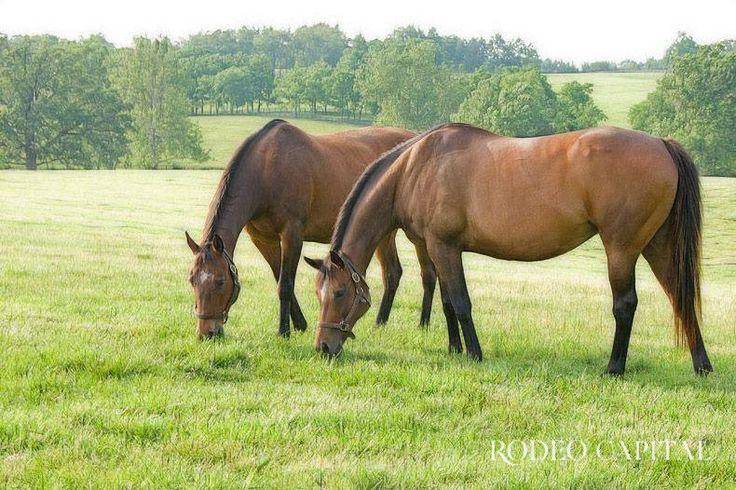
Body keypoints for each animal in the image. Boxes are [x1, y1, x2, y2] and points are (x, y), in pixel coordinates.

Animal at [185, 119, 437, 339]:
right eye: (192, 280)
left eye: (220, 281)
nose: (206, 333)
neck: (266, 168)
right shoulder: (263, 239)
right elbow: (279, 278)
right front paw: (299, 324)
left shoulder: (292, 234)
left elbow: (286, 284)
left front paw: (284, 331)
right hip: (382, 232)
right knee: (393, 272)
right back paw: (380, 323)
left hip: (412, 236)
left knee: (426, 274)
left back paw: (423, 324)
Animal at [305, 123, 712, 376]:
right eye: (318, 293)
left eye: (340, 292)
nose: (323, 347)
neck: (414, 170)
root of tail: (660, 143)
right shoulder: (438, 248)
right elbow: (448, 303)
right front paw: (454, 349)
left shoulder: (443, 245)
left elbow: (461, 303)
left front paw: (473, 353)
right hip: (657, 245)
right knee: (680, 297)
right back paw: (702, 365)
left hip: (622, 247)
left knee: (626, 304)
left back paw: (614, 368)